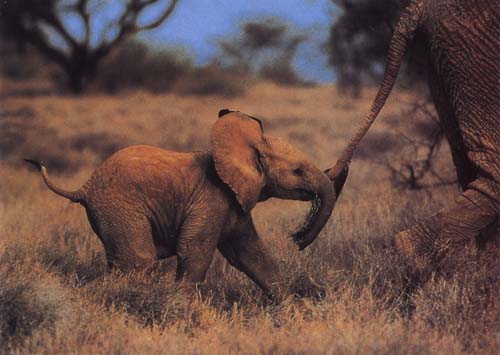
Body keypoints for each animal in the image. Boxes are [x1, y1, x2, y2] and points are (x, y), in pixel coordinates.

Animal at [27, 111, 340, 300]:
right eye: (298, 171)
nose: (298, 239)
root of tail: (84, 186)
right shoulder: (211, 199)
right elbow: (194, 252)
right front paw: (181, 306)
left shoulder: (234, 206)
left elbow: (251, 255)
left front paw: (292, 309)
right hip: (119, 207)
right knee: (138, 260)